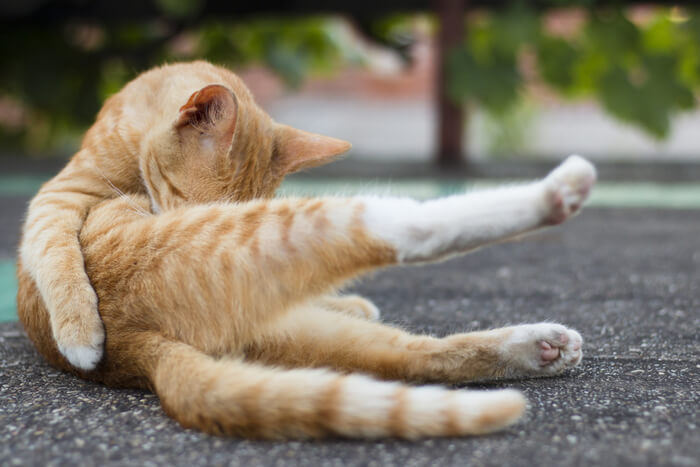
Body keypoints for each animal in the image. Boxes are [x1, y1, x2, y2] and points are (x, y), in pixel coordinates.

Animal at [16, 61, 596, 438]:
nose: (176, 219)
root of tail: (138, 350)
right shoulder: (61, 194)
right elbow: (54, 252)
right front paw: (80, 331)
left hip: (306, 337)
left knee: (412, 358)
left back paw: (537, 346)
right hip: (302, 233)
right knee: (409, 227)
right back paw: (558, 192)